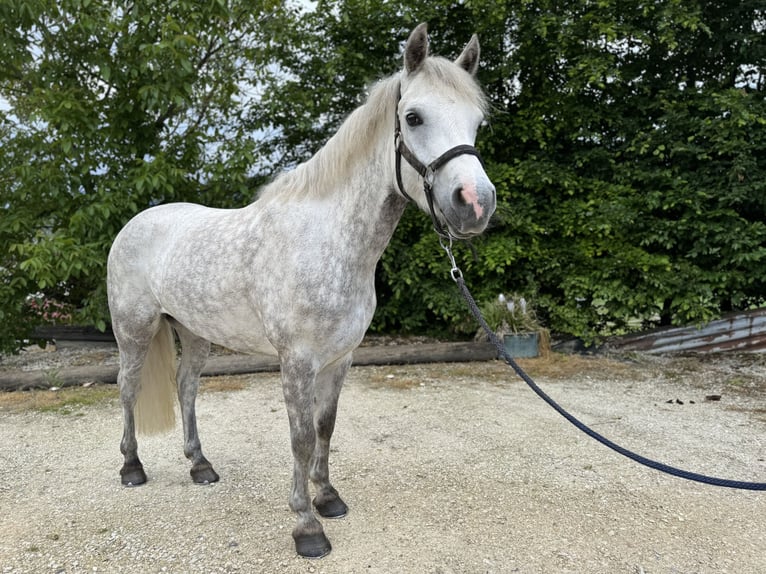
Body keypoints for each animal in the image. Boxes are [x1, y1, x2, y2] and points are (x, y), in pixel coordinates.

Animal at [106, 24, 498, 560]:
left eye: (477, 122)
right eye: (413, 117)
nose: (475, 204)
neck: (329, 240)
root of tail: (135, 224)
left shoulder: (340, 359)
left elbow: (325, 427)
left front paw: (328, 498)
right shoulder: (296, 361)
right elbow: (300, 438)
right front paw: (306, 527)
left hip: (196, 332)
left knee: (186, 387)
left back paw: (200, 466)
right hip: (134, 329)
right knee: (127, 387)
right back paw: (131, 468)